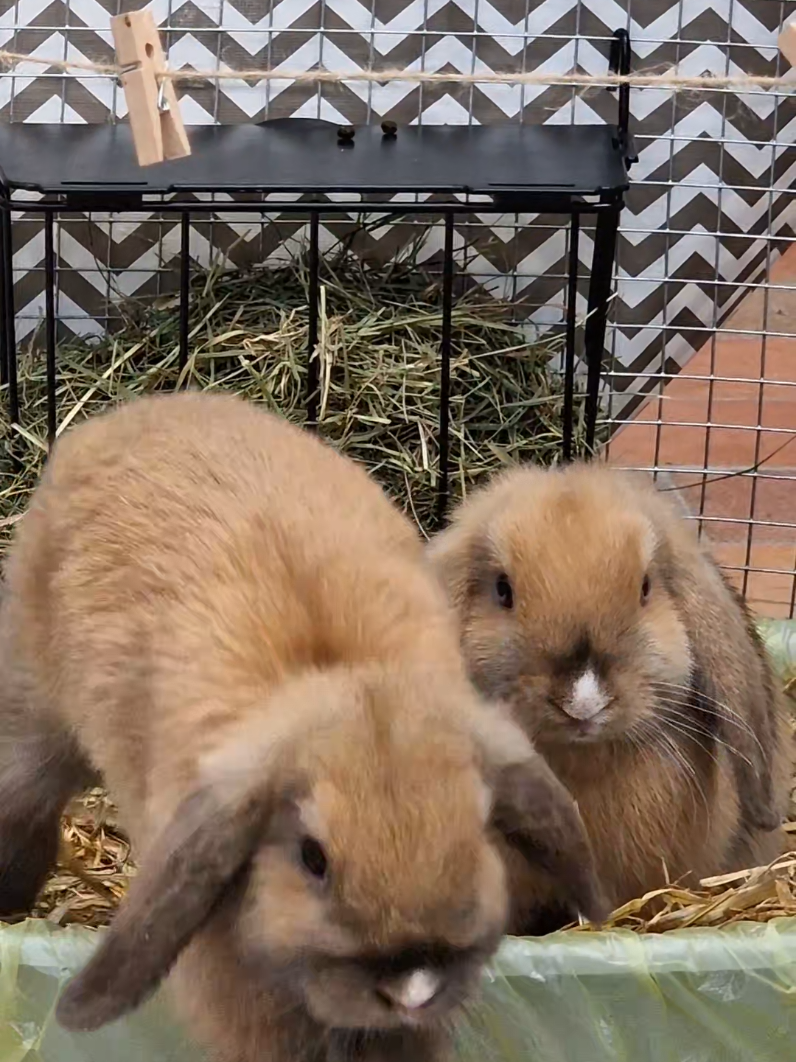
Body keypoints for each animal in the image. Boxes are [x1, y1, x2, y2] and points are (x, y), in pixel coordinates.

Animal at [0, 393, 606, 1062]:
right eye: (312, 858)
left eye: (479, 832)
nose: (412, 986)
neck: (343, 678)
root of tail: (134, 412)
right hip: (36, 710)